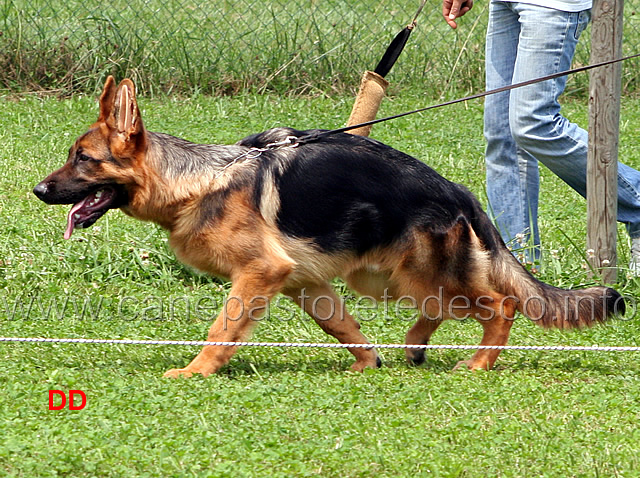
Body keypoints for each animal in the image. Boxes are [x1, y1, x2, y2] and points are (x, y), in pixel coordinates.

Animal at [32, 77, 624, 378]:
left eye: (83, 159)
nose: (38, 191)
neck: (199, 181)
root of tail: (460, 192)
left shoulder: (260, 273)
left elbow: (222, 327)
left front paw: (197, 371)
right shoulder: (304, 282)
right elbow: (343, 328)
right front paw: (367, 363)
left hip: (420, 274)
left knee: (500, 306)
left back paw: (478, 363)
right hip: (387, 277)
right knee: (436, 310)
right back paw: (412, 346)